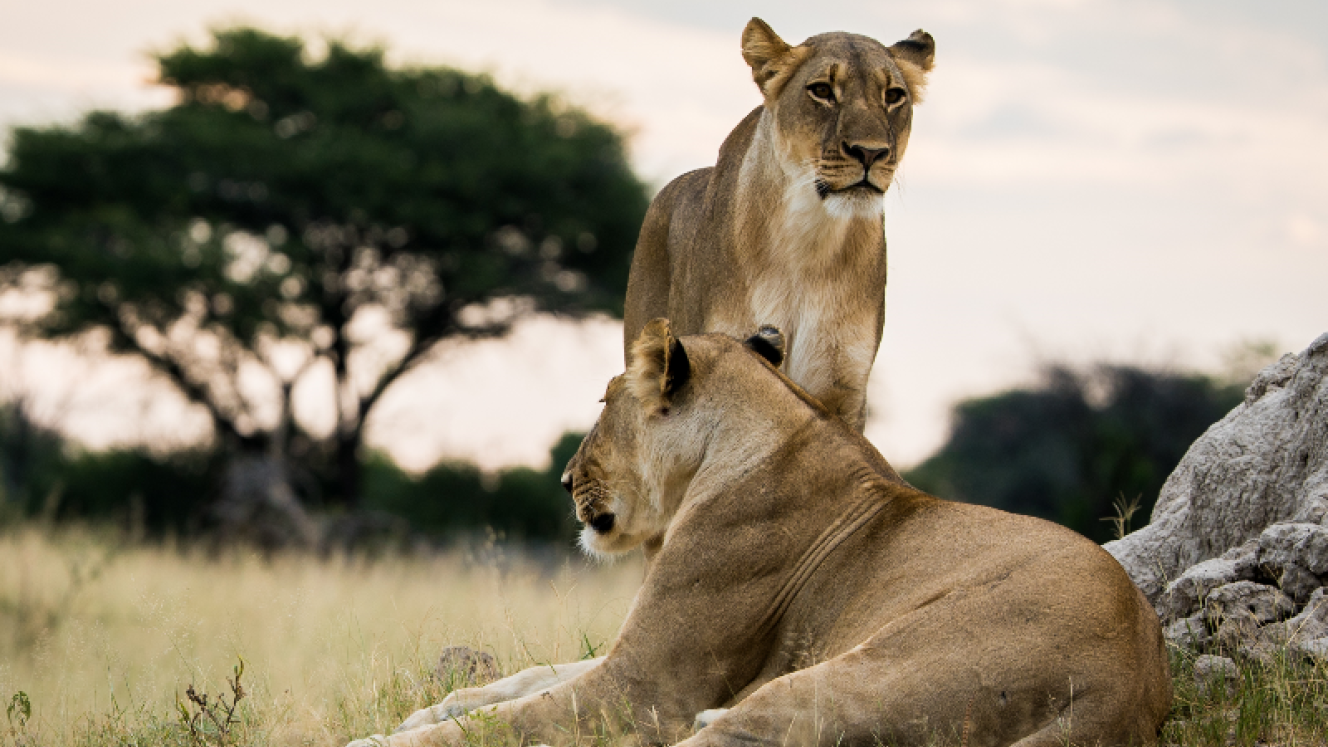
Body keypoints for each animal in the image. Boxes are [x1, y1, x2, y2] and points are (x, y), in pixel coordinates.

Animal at [348, 320, 1172, 747]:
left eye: (605, 401)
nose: (560, 480)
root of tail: (1126, 693)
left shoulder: (647, 683)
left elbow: (515, 717)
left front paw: (388, 739)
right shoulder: (631, 661)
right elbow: (522, 681)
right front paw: (429, 708)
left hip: (862, 672)